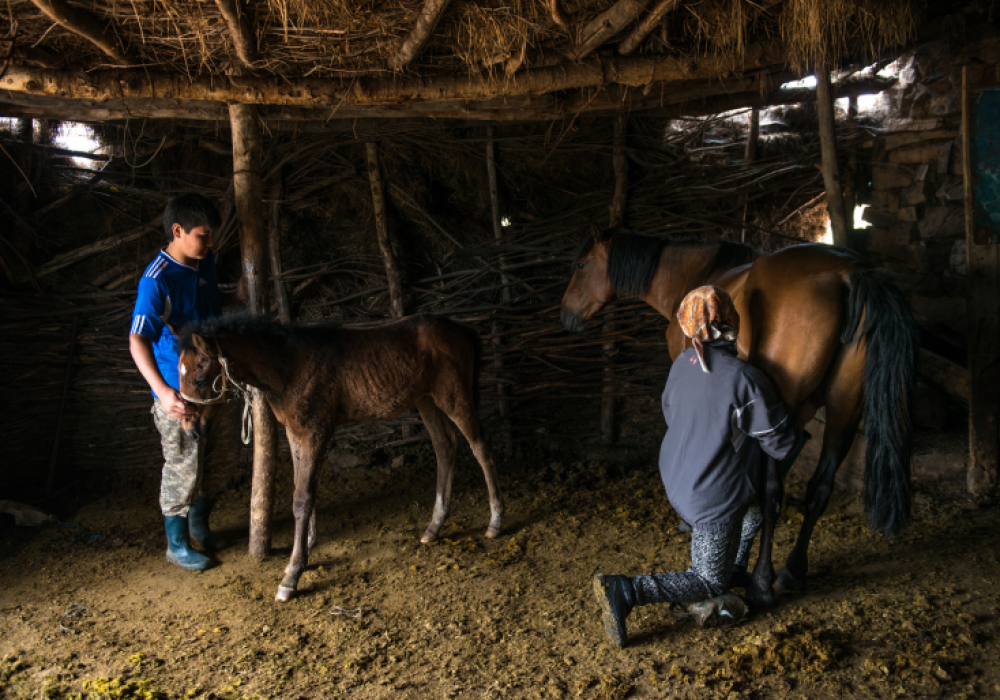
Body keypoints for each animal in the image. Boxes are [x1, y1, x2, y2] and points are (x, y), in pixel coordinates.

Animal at [177, 314, 504, 600]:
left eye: (200, 378)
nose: (190, 430)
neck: (289, 366)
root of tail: (462, 329)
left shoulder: (315, 432)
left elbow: (302, 498)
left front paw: (292, 575)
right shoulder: (295, 433)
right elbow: (301, 488)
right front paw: (306, 547)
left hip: (454, 397)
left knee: (481, 447)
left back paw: (495, 522)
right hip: (426, 400)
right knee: (444, 446)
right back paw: (434, 527)